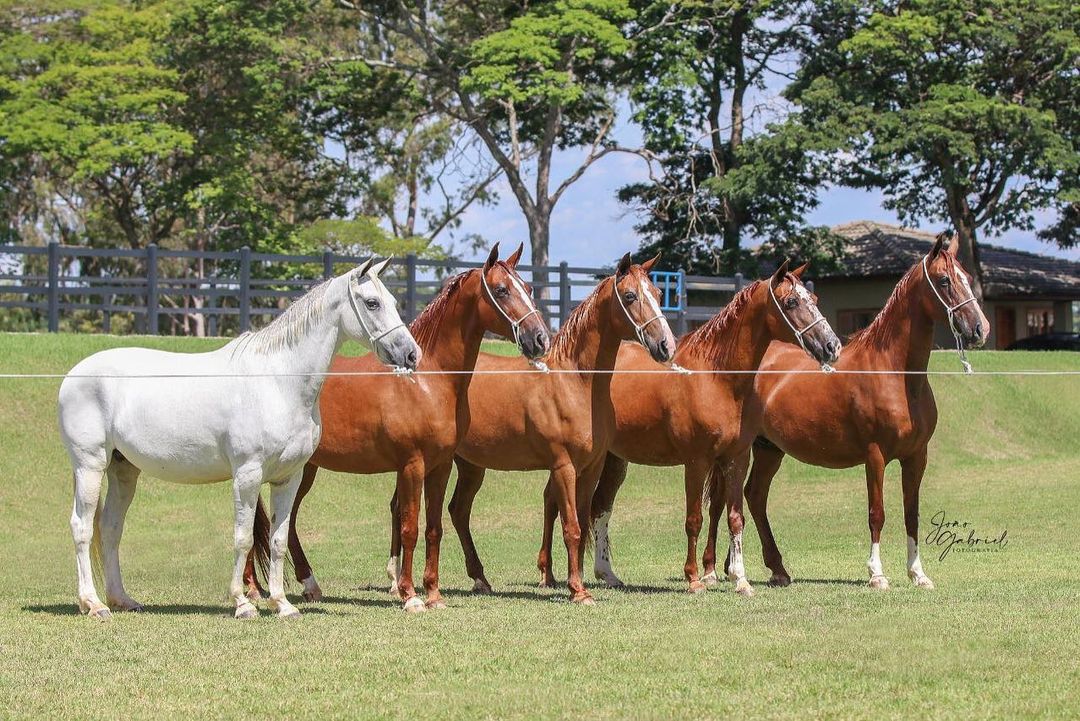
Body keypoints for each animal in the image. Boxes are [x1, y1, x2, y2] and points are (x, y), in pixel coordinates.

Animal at [56, 259, 421, 621]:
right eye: (372, 303)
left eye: (392, 301)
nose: (411, 354)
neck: (277, 381)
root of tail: (73, 376)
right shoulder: (247, 475)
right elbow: (243, 538)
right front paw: (243, 603)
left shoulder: (288, 477)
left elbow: (278, 540)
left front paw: (282, 604)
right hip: (90, 466)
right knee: (82, 528)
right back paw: (94, 604)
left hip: (123, 470)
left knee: (111, 529)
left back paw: (122, 599)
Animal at [247, 245, 548, 613]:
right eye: (502, 290)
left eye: (528, 288)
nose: (540, 339)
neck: (429, 380)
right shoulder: (411, 465)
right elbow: (409, 527)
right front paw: (409, 594)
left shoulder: (440, 466)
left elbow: (433, 527)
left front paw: (433, 593)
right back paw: (251, 589)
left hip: (304, 469)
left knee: (286, 526)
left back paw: (310, 586)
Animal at [395, 253, 673, 604]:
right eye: (631, 296)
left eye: (659, 294)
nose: (665, 346)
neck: (575, 380)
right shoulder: (564, 466)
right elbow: (571, 527)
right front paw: (577, 590)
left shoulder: (591, 467)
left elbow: (583, 524)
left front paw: (575, 581)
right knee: (401, 510)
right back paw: (396, 581)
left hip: (469, 466)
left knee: (457, 510)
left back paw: (480, 579)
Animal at [531, 259, 842, 595]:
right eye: (792, 301)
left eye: (815, 299)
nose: (832, 346)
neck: (715, 377)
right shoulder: (696, 461)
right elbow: (694, 519)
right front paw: (694, 578)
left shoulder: (737, 458)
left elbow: (735, 517)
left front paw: (741, 580)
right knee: (553, 500)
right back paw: (547, 574)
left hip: (613, 460)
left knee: (599, 507)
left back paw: (606, 574)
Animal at [704, 234, 989, 587]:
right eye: (945, 280)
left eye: (966, 277)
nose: (980, 328)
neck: (894, 373)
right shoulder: (875, 455)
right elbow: (877, 513)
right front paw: (877, 574)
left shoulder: (916, 456)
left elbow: (912, 514)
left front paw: (918, 574)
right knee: (720, 503)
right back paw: (712, 571)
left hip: (769, 449)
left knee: (753, 497)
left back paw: (773, 569)